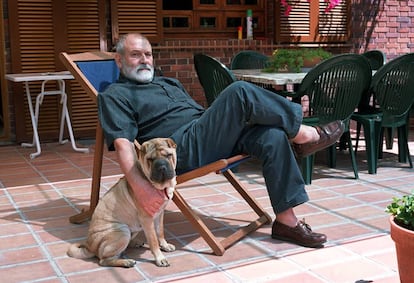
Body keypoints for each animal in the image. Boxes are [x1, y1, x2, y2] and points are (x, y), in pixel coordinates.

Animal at [67, 139, 177, 270]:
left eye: (168, 155)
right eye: (150, 159)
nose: (161, 167)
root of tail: (90, 247)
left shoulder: (160, 214)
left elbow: (160, 232)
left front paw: (165, 245)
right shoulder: (147, 219)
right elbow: (153, 240)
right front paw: (160, 258)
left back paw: (135, 243)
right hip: (122, 231)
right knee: (104, 260)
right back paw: (127, 262)